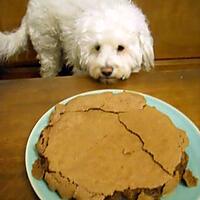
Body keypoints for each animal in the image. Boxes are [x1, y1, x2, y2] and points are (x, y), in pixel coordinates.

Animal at [0, 0, 154, 82]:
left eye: (120, 48)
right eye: (97, 47)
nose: (106, 71)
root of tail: (30, 8)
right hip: (47, 41)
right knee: (49, 66)